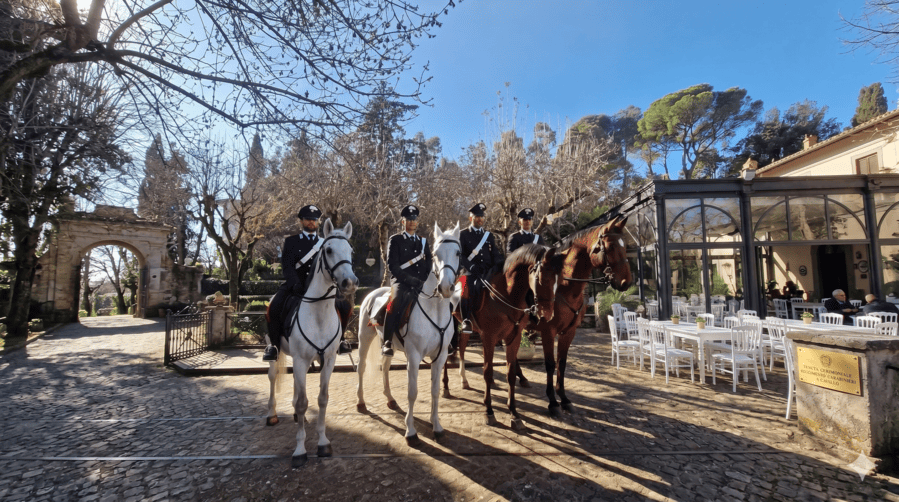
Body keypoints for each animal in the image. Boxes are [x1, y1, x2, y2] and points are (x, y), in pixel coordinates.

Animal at [265, 219, 358, 468]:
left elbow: (321, 399)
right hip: (277, 352)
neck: (319, 312)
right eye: (328, 250)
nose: (350, 282)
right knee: (272, 377)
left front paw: (323, 442)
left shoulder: (329, 360)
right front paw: (300, 450)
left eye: (351, 251)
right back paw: (271, 414)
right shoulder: (300, 359)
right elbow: (302, 402)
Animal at [355, 222, 461, 445]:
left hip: (388, 344)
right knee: (361, 367)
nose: (446, 288)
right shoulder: (413, 356)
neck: (435, 309)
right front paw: (411, 432)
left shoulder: (440, 357)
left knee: (385, 366)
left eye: (457, 252)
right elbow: (413, 393)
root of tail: (373, 292)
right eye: (435, 253)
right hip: (364, 338)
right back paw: (361, 402)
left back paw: (390, 399)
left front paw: (437, 426)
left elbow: (435, 391)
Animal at [447, 243, 564, 429]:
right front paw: (489, 411)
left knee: (462, 347)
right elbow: (487, 372)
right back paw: (445, 388)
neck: (507, 294)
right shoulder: (488, 337)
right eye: (542, 278)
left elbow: (510, 373)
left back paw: (464, 380)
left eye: (558, 279)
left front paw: (514, 413)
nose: (548, 313)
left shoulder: (513, 338)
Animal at [531, 215, 632, 416]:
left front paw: (564, 399)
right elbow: (550, 364)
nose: (627, 282)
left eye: (625, 246)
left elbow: (562, 363)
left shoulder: (569, 332)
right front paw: (552, 402)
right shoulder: (548, 332)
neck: (564, 287)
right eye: (610, 247)